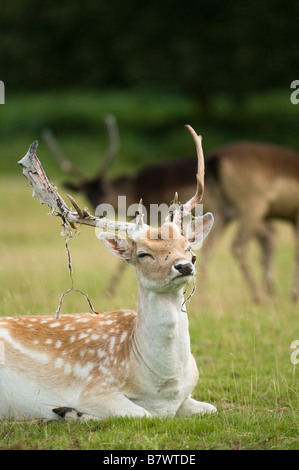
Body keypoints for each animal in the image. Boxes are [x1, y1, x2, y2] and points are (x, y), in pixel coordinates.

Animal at [42, 121, 299, 302]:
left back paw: (260, 296)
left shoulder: (155, 210)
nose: (98, 209)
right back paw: (269, 291)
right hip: (241, 212)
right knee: (264, 237)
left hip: (250, 206)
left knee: (241, 244)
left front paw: (108, 291)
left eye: (103, 189)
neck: (136, 190)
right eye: (86, 193)